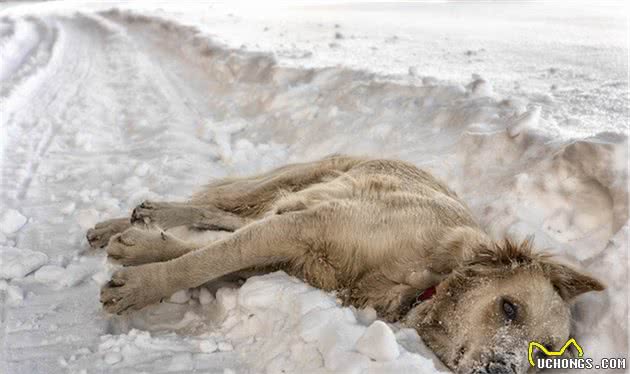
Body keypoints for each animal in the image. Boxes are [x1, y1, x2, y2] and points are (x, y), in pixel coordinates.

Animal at [86, 155, 604, 374]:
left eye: (545, 355)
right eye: (509, 308)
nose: (503, 370)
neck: (427, 279)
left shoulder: (290, 249)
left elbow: (212, 256)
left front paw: (141, 253)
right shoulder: (302, 226)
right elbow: (204, 260)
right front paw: (139, 286)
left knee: (226, 219)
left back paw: (135, 228)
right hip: (294, 180)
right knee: (219, 206)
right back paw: (134, 218)